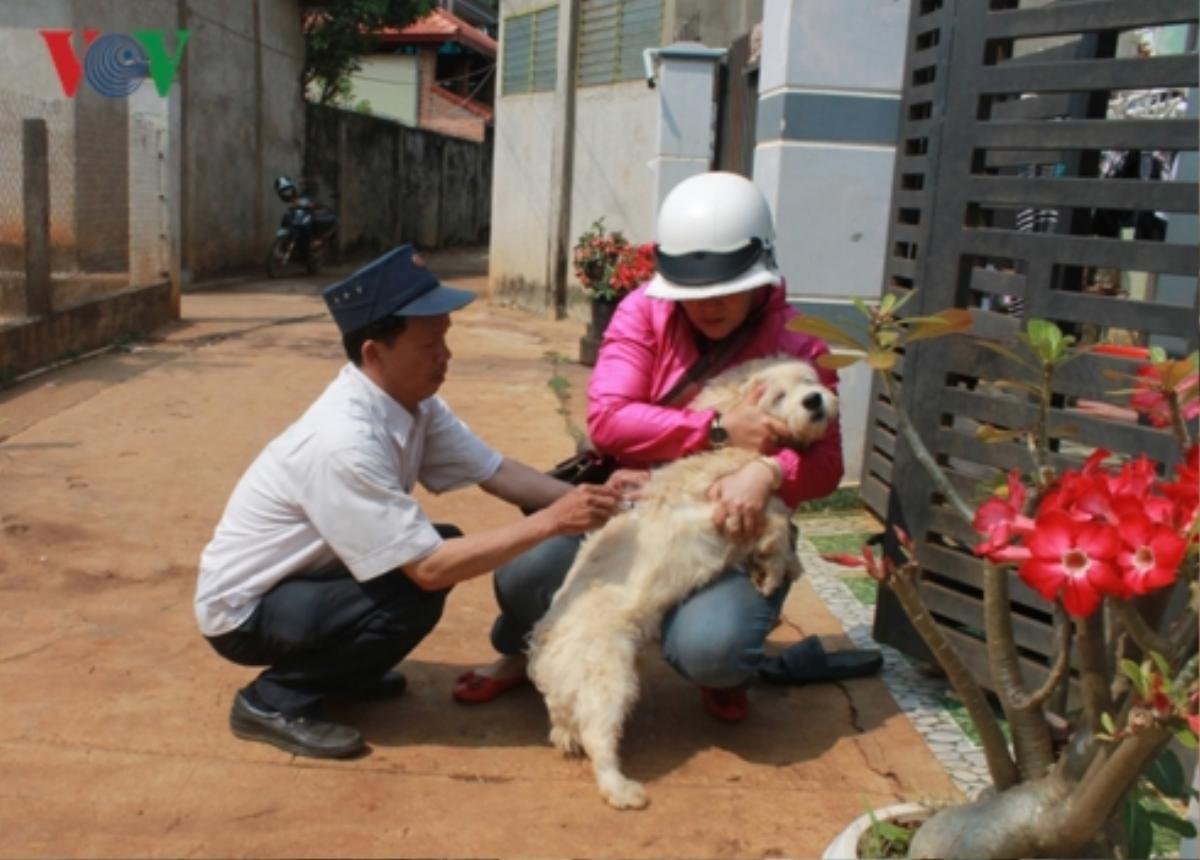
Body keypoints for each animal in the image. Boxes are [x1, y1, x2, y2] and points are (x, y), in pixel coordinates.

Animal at [530, 355, 840, 806]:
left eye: (809, 381)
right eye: (780, 395)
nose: (815, 400)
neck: (728, 451)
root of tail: (543, 649)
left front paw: (776, 566)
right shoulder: (734, 504)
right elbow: (777, 517)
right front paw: (777, 568)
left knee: (571, 728)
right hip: (608, 681)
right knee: (599, 740)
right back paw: (622, 789)